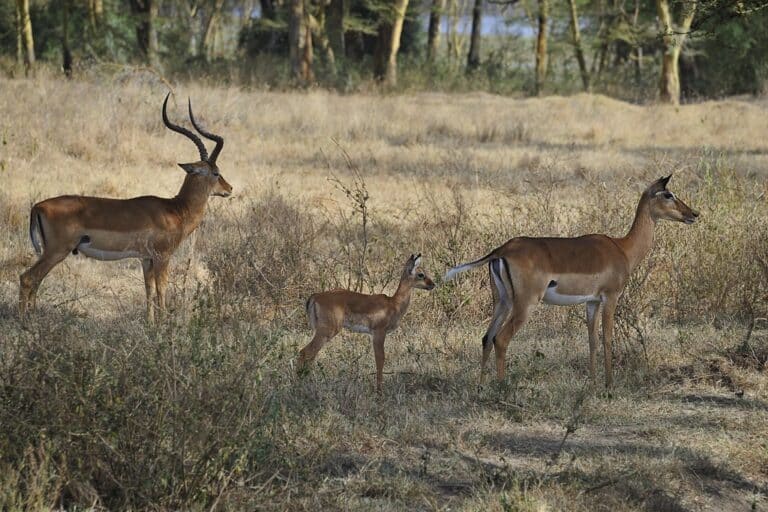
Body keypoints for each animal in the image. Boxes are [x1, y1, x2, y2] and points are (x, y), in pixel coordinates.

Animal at [19, 93, 232, 323]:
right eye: (216, 172)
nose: (229, 188)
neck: (176, 210)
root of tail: (37, 206)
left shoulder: (146, 259)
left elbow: (149, 291)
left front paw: (150, 324)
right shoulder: (162, 257)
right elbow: (162, 290)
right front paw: (164, 326)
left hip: (51, 252)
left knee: (36, 281)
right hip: (57, 251)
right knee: (27, 278)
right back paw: (24, 321)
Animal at [298, 254, 436, 392]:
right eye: (421, 274)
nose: (433, 284)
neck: (394, 304)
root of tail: (315, 296)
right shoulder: (379, 332)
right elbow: (380, 358)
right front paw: (379, 391)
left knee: (310, 355)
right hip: (327, 331)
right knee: (305, 352)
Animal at [445, 175, 699, 388]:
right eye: (668, 194)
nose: (694, 213)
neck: (622, 248)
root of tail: (503, 249)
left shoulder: (591, 301)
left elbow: (592, 340)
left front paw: (593, 384)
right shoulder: (611, 297)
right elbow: (607, 339)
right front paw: (608, 386)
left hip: (503, 302)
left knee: (487, 337)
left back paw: (480, 387)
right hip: (525, 304)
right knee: (501, 339)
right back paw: (501, 388)